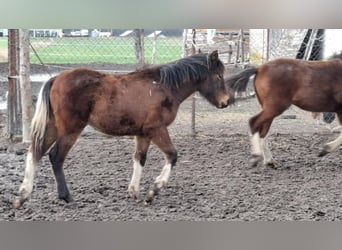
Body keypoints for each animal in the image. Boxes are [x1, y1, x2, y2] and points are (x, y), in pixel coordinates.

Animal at [14, 49, 232, 208]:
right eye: (218, 76)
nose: (226, 102)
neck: (163, 87)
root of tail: (56, 79)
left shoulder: (143, 134)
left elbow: (139, 159)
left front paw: (134, 192)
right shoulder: (157, 129)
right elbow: (172, 155)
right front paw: (153, 190)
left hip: (53, 127)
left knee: (35, 153)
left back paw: (23, 196)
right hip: (70, 130)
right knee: (55, 157)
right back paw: (66, 197)